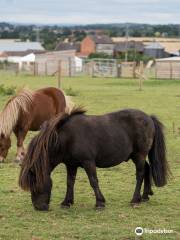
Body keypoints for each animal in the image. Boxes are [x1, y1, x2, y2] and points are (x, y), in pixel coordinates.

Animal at [19, 108, 169, 211]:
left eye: (35, 184)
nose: (39, 207)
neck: (66, 138)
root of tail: (149, 118)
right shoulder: (71, 165)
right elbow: (70, 182)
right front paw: (67, 202)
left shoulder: (88, 162)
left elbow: (93, 181)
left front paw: (100, 203)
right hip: (137, 156)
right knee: (147, 170)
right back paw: (145, 196)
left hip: (139, 155)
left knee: (140, 174)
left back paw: (135, 199)